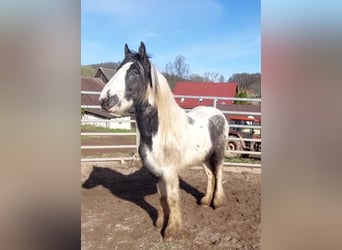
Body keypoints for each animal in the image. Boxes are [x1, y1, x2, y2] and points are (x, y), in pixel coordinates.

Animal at [98, 42, 230, 240]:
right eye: (118, 69)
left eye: (134, 72)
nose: (104, 99)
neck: (160, 131)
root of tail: (218, 114)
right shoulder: (155, 172)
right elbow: (162, 198)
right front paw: (161, 222)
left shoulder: (169, 171)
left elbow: (172, 198)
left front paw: (172, 230)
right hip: (204, 157)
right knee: (210, 175)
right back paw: (205, 201)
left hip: (218, 153)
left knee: (219, 173)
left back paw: (217, 202)